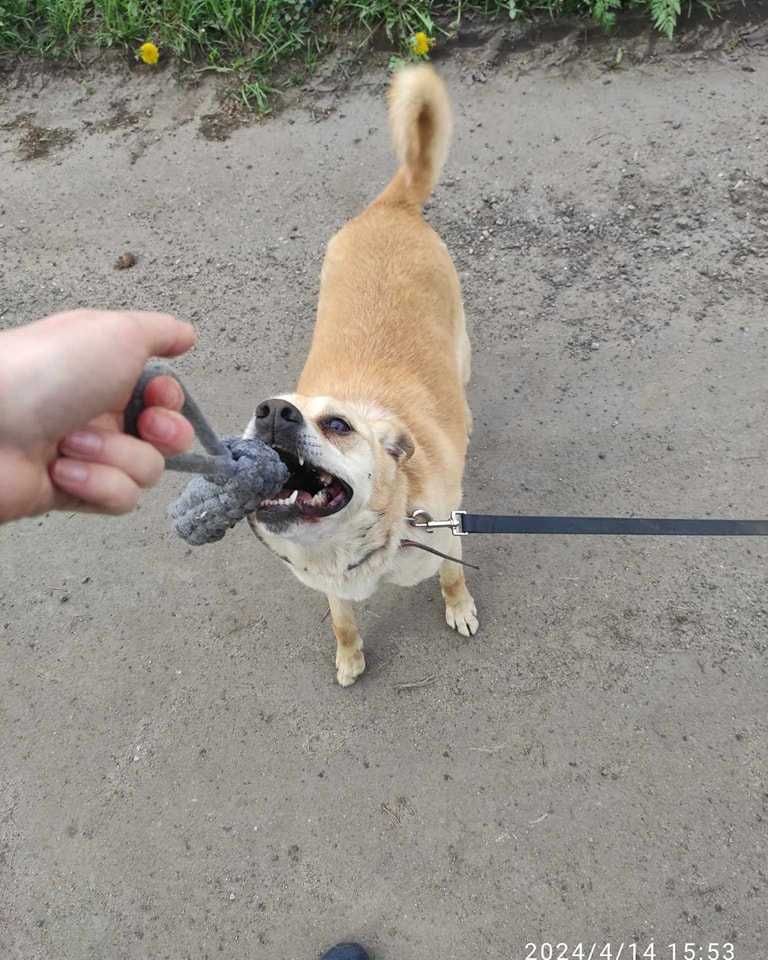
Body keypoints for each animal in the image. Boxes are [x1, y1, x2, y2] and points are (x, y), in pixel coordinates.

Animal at [246, 63, 476, 688]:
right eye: (252, 422)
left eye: (339, 426)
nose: (274, 413)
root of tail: (389, 207)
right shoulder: (330, 587)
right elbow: (343, 621)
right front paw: (349, 657)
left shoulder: (448, 533)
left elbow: (452, 577)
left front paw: (460, 607)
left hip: (461, 346)